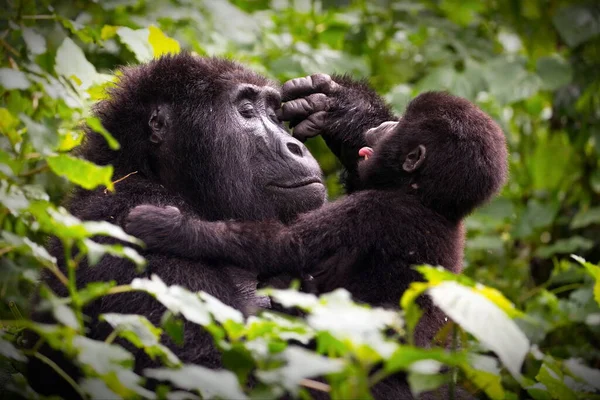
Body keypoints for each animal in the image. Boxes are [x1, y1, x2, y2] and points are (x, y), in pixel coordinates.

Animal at [125, 90, 506, 338]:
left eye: (396, 129)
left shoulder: (373, 209)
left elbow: (281, 246)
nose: (377, 129)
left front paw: (169, 227)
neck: (425, 198)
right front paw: (341, 105)